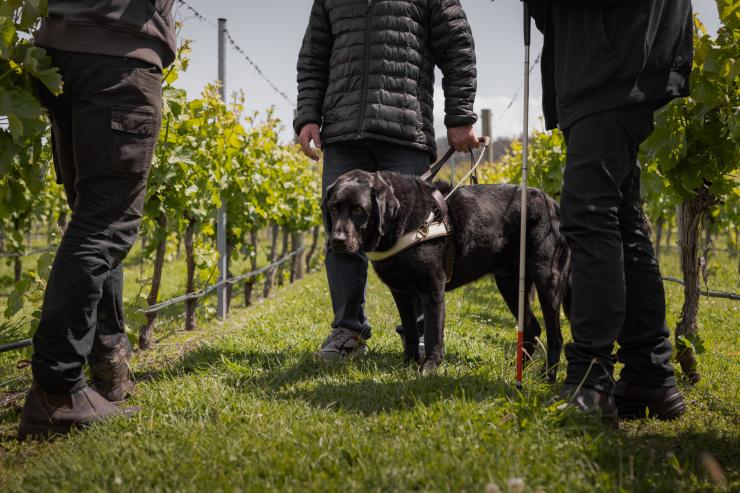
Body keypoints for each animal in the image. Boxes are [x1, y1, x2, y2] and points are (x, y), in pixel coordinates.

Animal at [323, 169, 571, 380]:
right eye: (334, 208)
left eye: (359, 209)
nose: (337, 240)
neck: (404, 218)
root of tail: (553, 204)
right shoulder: (401, 292)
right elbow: (410, 331)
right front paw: (408, 363)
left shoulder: (432, 288)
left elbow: (433, 332)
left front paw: (430, 367)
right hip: (509, 284)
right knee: (532, 328)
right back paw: (515, 369)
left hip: (548, 279)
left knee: (555, 336)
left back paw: (547, 376)